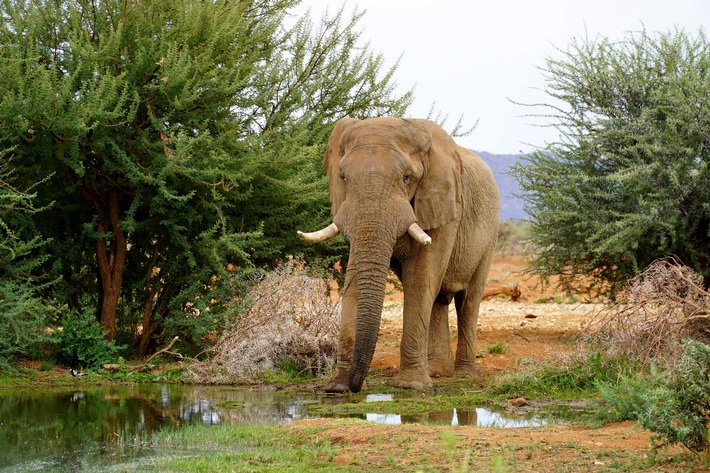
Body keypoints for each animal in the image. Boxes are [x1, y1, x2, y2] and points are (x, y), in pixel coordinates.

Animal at [296, 116, 500, 392]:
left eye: (407, 177)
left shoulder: (444, 204)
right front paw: (337, 387)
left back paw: (465, 375)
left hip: (489, 234)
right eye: (343, 177)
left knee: (468, 300)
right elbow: (354, 279)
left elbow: (421, 278)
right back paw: (438, 373)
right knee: (438, 300)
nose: (356, 386)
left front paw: (411, 386)